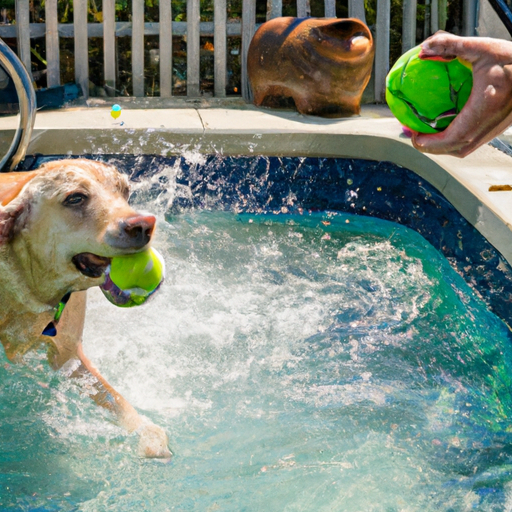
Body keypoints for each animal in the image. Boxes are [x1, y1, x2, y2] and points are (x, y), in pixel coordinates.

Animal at [0, 158, 172, 458]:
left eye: (125, 190)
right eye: (75, 198)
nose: (143, 225)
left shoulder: (69, 353)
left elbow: (111, 395)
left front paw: (145, 431)